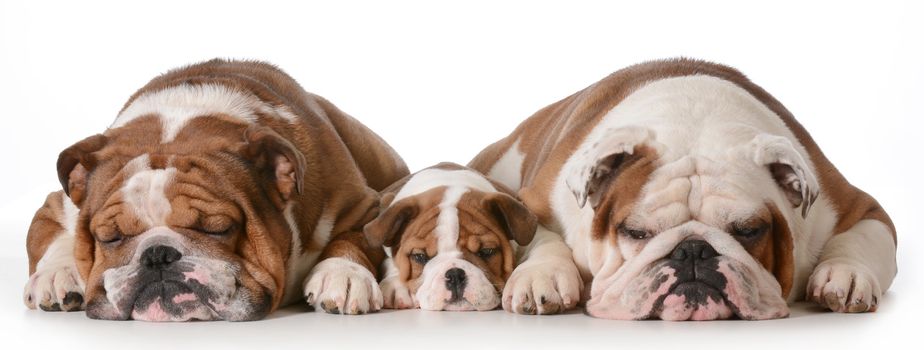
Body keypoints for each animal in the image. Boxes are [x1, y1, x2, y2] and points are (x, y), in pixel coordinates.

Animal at [21, 58, 408, 322]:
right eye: (110, 237)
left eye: (218, 229)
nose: (157, 255)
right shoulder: (59, 204)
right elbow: (52, 237)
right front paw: (57, 274)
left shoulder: (365, 205)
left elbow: (355, 237)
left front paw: (343, 274)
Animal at [470, 58, 896, 322]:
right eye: (635, 232)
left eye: (750, 231)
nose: (693, 250)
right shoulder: (531, 204)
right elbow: (542, 237)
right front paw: (541, 277)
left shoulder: (858, 207)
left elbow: (860, 240)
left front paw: (845, 275)